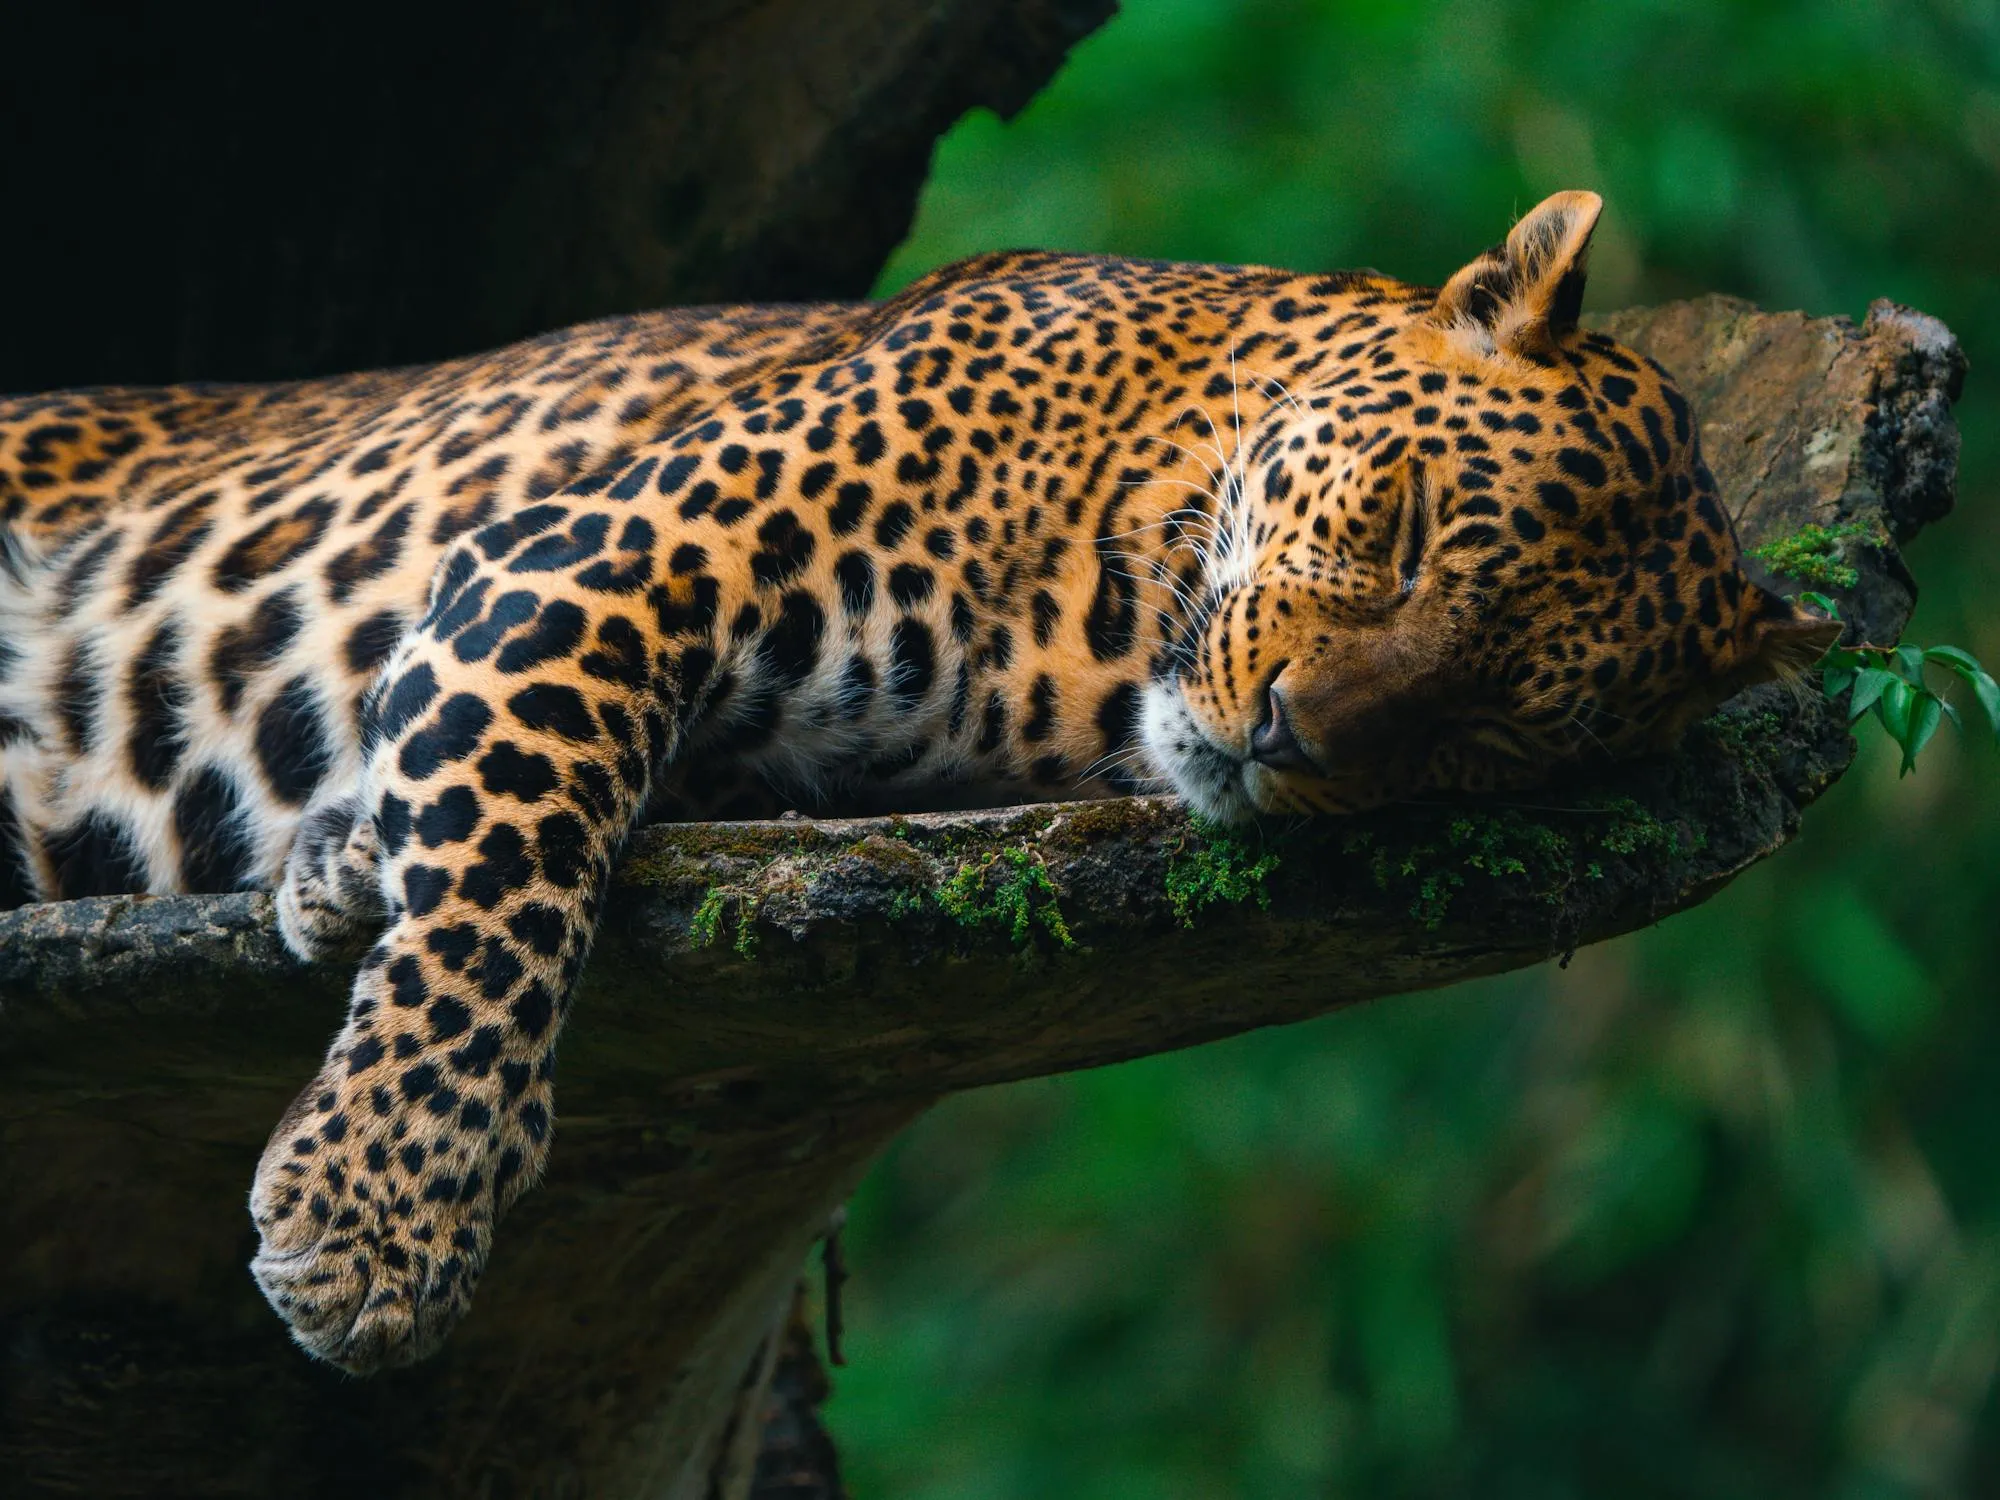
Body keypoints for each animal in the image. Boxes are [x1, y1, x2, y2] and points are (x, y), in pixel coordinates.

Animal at [0, 191, 1836, 1373]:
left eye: (1485, 740)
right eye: (1398, 532)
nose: (1290, 740)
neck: (1102, 620)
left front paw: (341, 872)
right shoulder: (600, 558)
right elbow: (508, 887)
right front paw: (386, 1214)